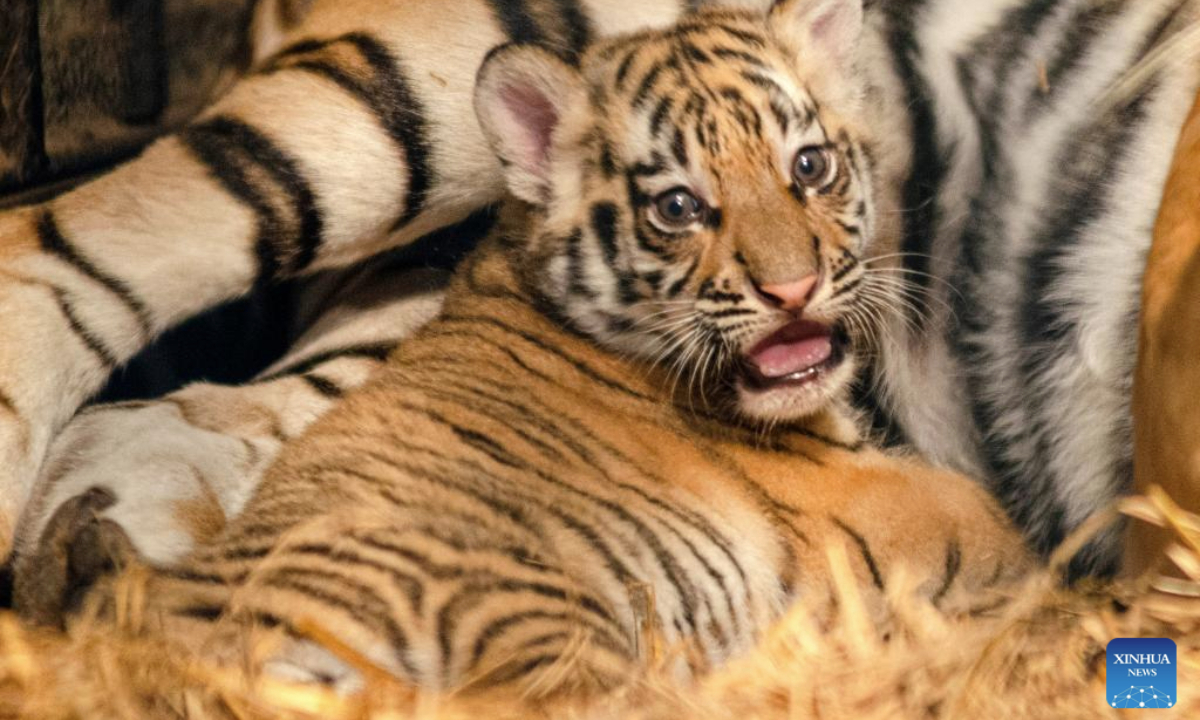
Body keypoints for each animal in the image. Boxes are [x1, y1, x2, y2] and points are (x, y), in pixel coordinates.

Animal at [16, 3, 1031, 698]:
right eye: (678, 207)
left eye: (809, 167)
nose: (792, 291)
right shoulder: (884, 501)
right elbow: (994, 525)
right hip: (517, 602)